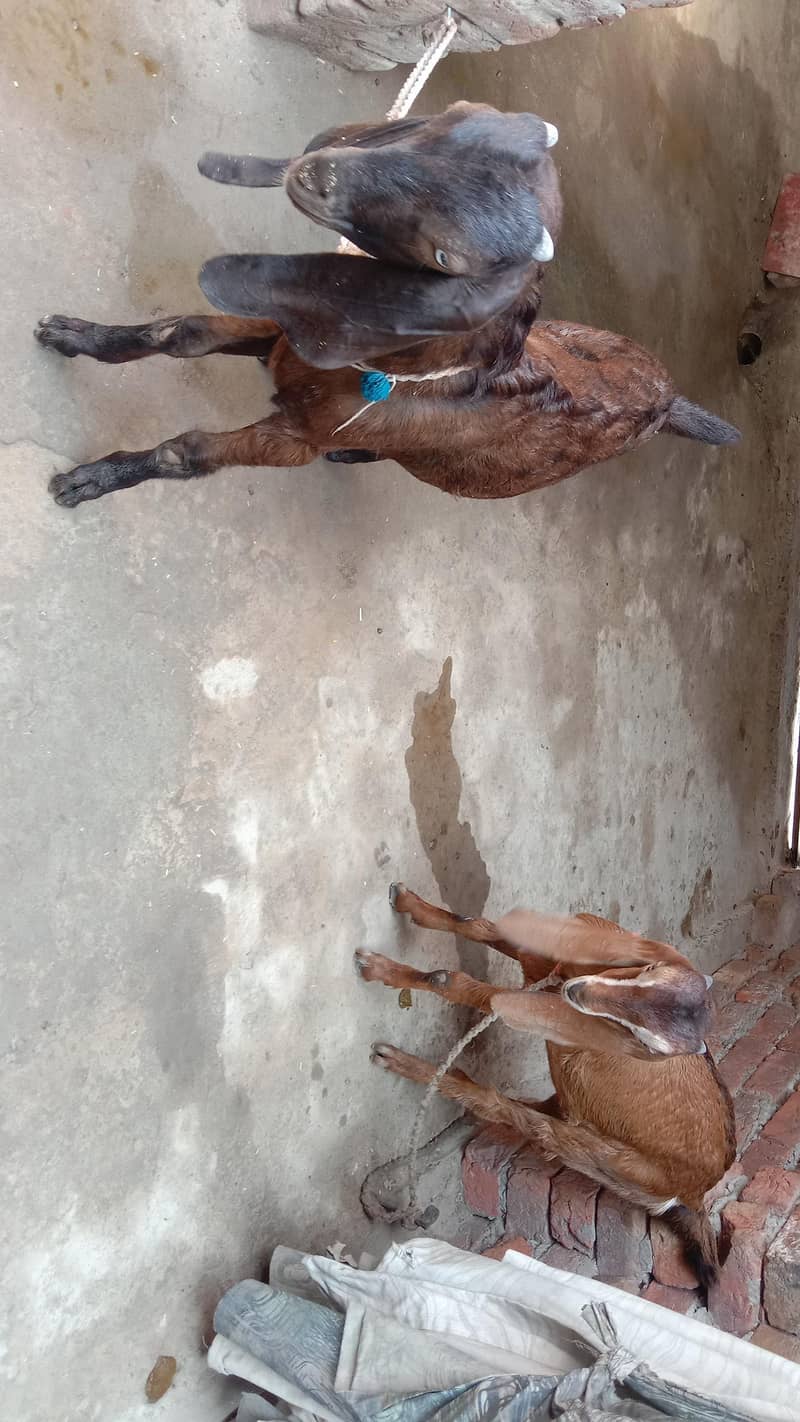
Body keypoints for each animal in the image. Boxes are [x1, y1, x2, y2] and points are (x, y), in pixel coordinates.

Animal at [36, 103, 739, 508]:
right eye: (431, 134)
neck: (383, 373)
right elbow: (180, 334)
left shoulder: (291, 441)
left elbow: (186, 452)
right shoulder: (284, 328)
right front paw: (73, 335)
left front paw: (91, 481)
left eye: (446, 255)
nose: (317, 173)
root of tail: (669, 395)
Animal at [356, 883, 735, 1288]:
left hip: (598, 1152)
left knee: (506, 1109)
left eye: (646, 1039)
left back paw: (401, 1062)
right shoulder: (551, 962)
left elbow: (455, 981)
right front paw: (409, 905)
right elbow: (480, 927)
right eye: (648, 973)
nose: (576, 992)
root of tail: (695, 1195)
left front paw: (379, 968)